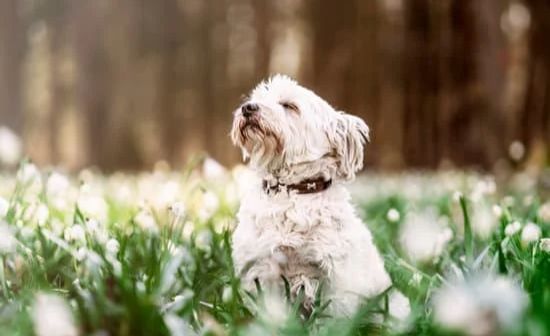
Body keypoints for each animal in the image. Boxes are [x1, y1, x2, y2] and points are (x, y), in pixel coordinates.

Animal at [231, 75, 394, 316]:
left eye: (289, 105)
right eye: (256, 98)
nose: (247, 108)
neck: (291, 192)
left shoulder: (337, 273)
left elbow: (337, 312)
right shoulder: (260, 269)